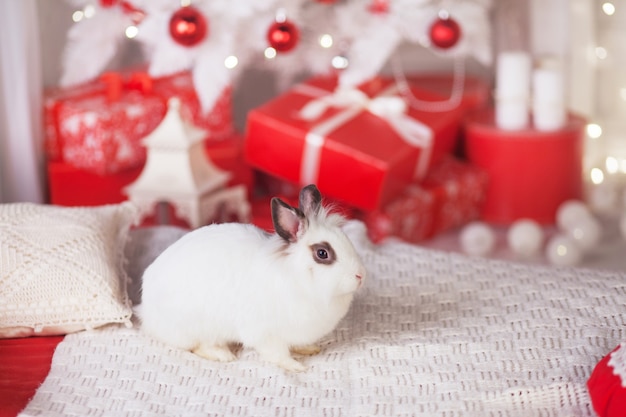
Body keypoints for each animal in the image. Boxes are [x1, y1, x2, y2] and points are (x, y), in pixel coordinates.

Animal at [134, 184, 364, 370]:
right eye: (322, 253)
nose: (360, 275)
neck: (298, 278)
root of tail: (146, 311)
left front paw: (309, 349)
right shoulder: (267, 335)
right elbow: (277, 354)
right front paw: (295, 366)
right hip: (199, 326)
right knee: (199, 346)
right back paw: (223, 355)